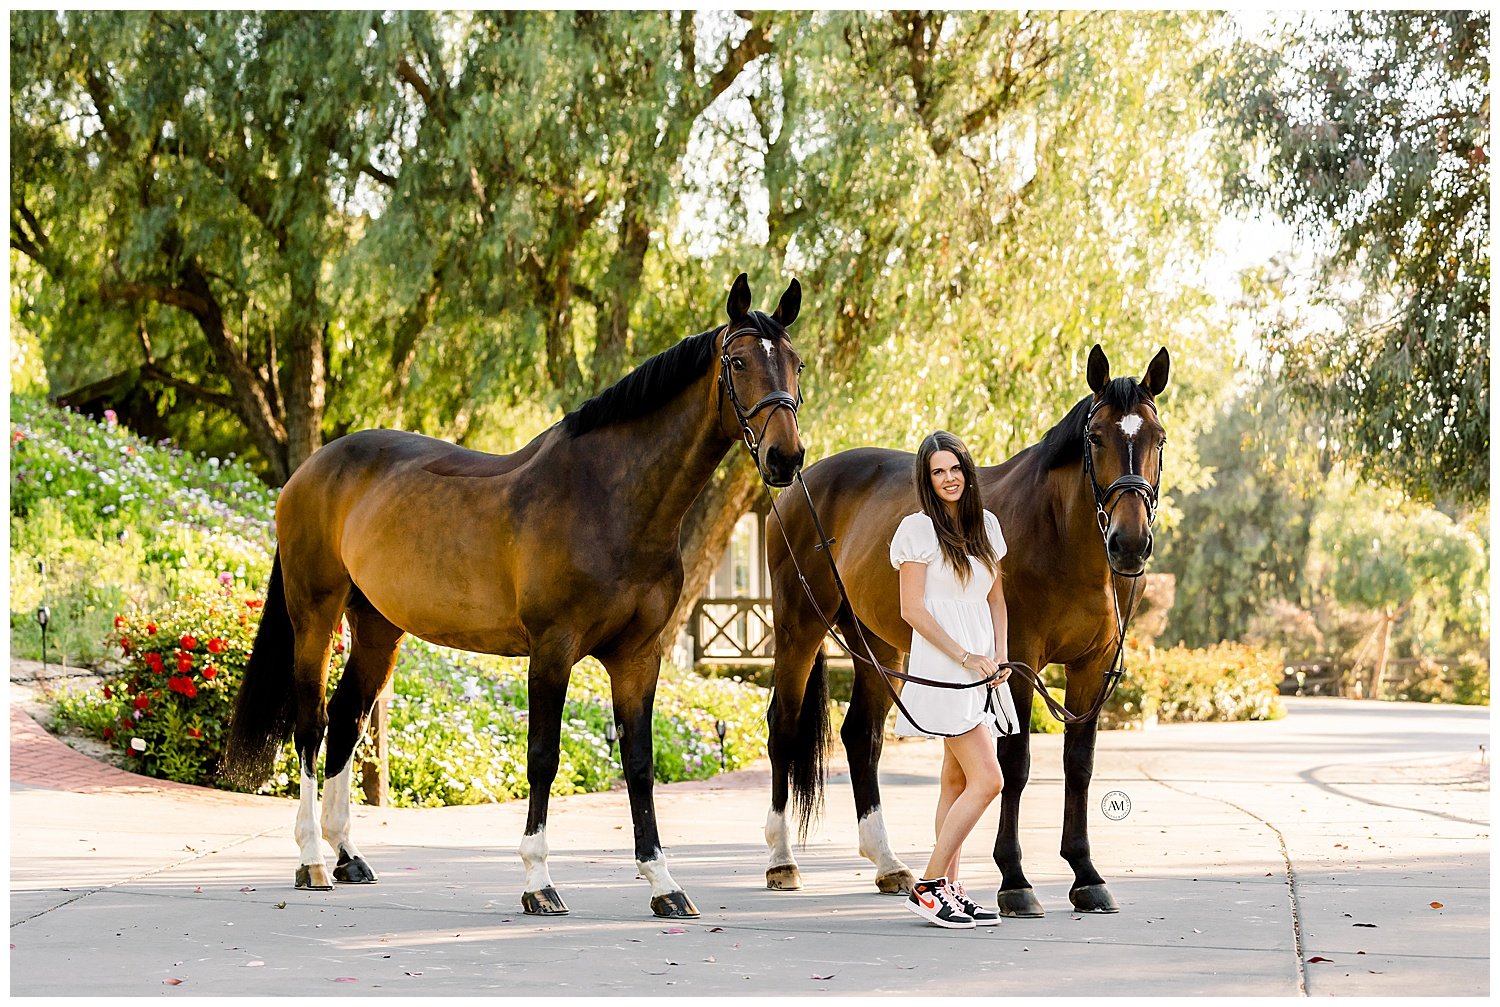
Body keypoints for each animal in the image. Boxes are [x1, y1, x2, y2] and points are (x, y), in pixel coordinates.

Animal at [222, 271, 804, 918]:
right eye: (738, 361)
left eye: (796, 365)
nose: (786, 457)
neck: (608, 499)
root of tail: (309, 470)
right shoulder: (552, 649)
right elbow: (543, 756)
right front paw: (538, 882)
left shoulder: (639, 656)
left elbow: (640, 763)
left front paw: (665, 885)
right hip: (315, 615)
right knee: (312, 725)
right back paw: (312, 861)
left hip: (377, 628)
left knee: (347, 723)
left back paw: (348, 856)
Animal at [768, 348, 1164, 924]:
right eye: (1095, 439)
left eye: (1157, 437)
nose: (1129, 543)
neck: (1060, 534)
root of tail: (803, 482)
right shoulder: (1016, 662)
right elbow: (1016, 763)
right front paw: (1015, 881)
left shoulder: (1092, 667)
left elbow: (1079, 764)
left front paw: (1086, 876)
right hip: (798, 627)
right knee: (783, 724)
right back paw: (781, 861)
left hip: (878, 646)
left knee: (861, 736)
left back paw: (889, 866)